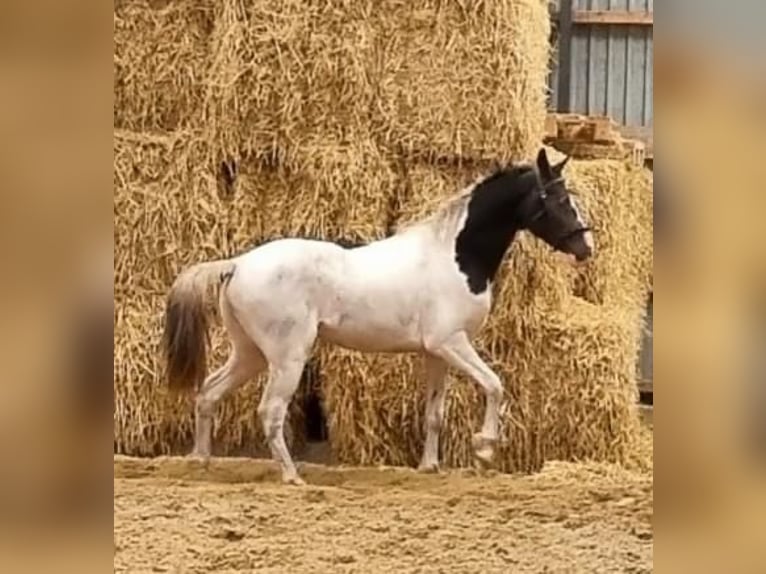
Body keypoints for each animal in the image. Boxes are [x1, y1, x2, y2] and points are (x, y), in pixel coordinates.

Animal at [160, 148, 592, 486]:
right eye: (556, 198)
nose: (586, 247)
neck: (454, 256)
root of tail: (237, 264)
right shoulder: (451, 342)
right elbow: (494, 385)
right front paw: (485, 449)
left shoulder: (435, 353)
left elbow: (434, 413)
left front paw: (430, 467)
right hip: (287, 357)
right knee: (270, 411)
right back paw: (292, 476)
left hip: (249, 353)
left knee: (209, 392)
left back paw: (201, 462)